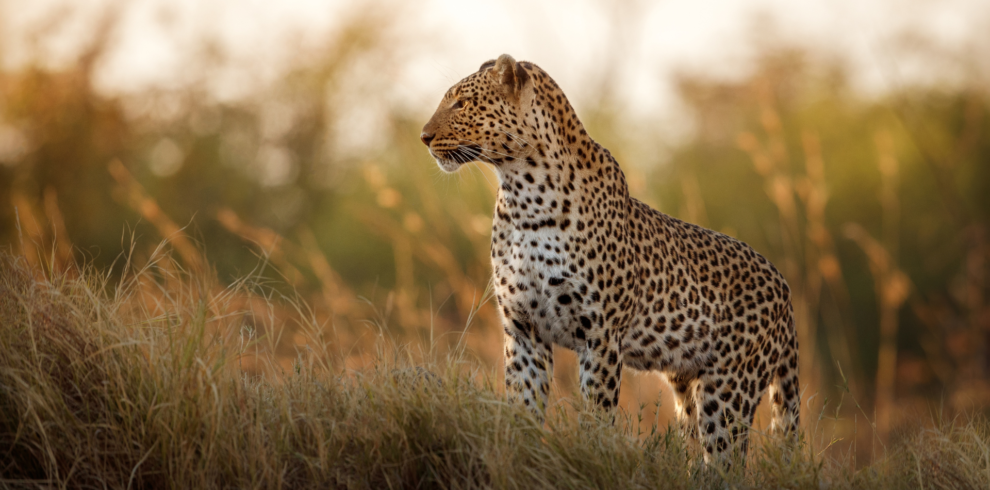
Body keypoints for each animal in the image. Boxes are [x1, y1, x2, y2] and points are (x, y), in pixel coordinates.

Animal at [422, 55, 804, 462]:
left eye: (461, 103)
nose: (423, 136)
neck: (523, 195)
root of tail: (784, 287)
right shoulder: (523, 329)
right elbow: (523, 409)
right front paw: (520, 456)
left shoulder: (600, 335)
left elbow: (597, 414)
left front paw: (591, 457)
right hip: (687, 386)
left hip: (730, 388)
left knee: (725, 461)